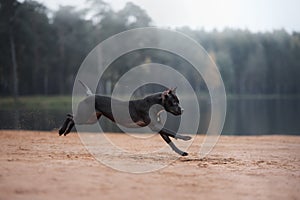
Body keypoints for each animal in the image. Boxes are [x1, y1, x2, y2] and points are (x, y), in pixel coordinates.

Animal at [59, 81, 192, 156]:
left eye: (178, 102)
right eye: (174, 102)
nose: (182, 110)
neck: (154, 105)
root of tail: (89, 95)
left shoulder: (158, 128)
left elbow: (170, 141)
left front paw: (181, 152)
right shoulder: (155, 126)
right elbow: (172, 132)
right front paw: (186, 137)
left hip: (91, 118)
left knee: (71, 117)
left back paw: (65, 131)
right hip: (85, 116)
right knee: (70, 116)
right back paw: (62, 130)